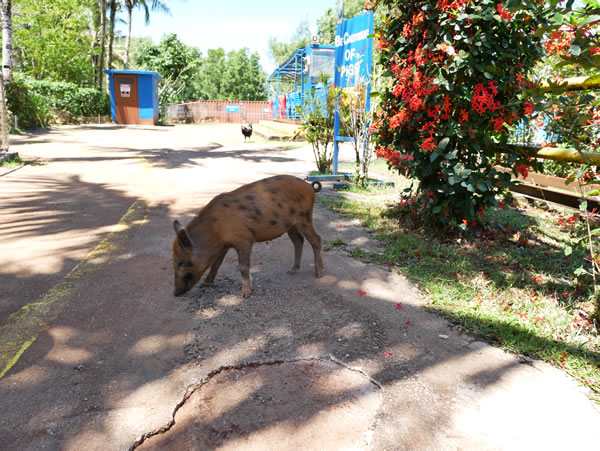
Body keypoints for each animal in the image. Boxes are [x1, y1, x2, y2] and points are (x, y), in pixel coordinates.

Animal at [173, 176, 324, 296]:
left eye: (183, 263)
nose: (175, 293)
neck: (215, 230)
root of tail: (309, 187)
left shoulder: (244, 239)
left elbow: (243, 267)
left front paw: (245, 294)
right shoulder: (225, 245)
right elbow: (216, 264)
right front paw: (204, 285)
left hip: (304, 218)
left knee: (316, 239)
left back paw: (319, 275)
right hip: (291, 225)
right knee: (299, 241)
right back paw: (291, 271)